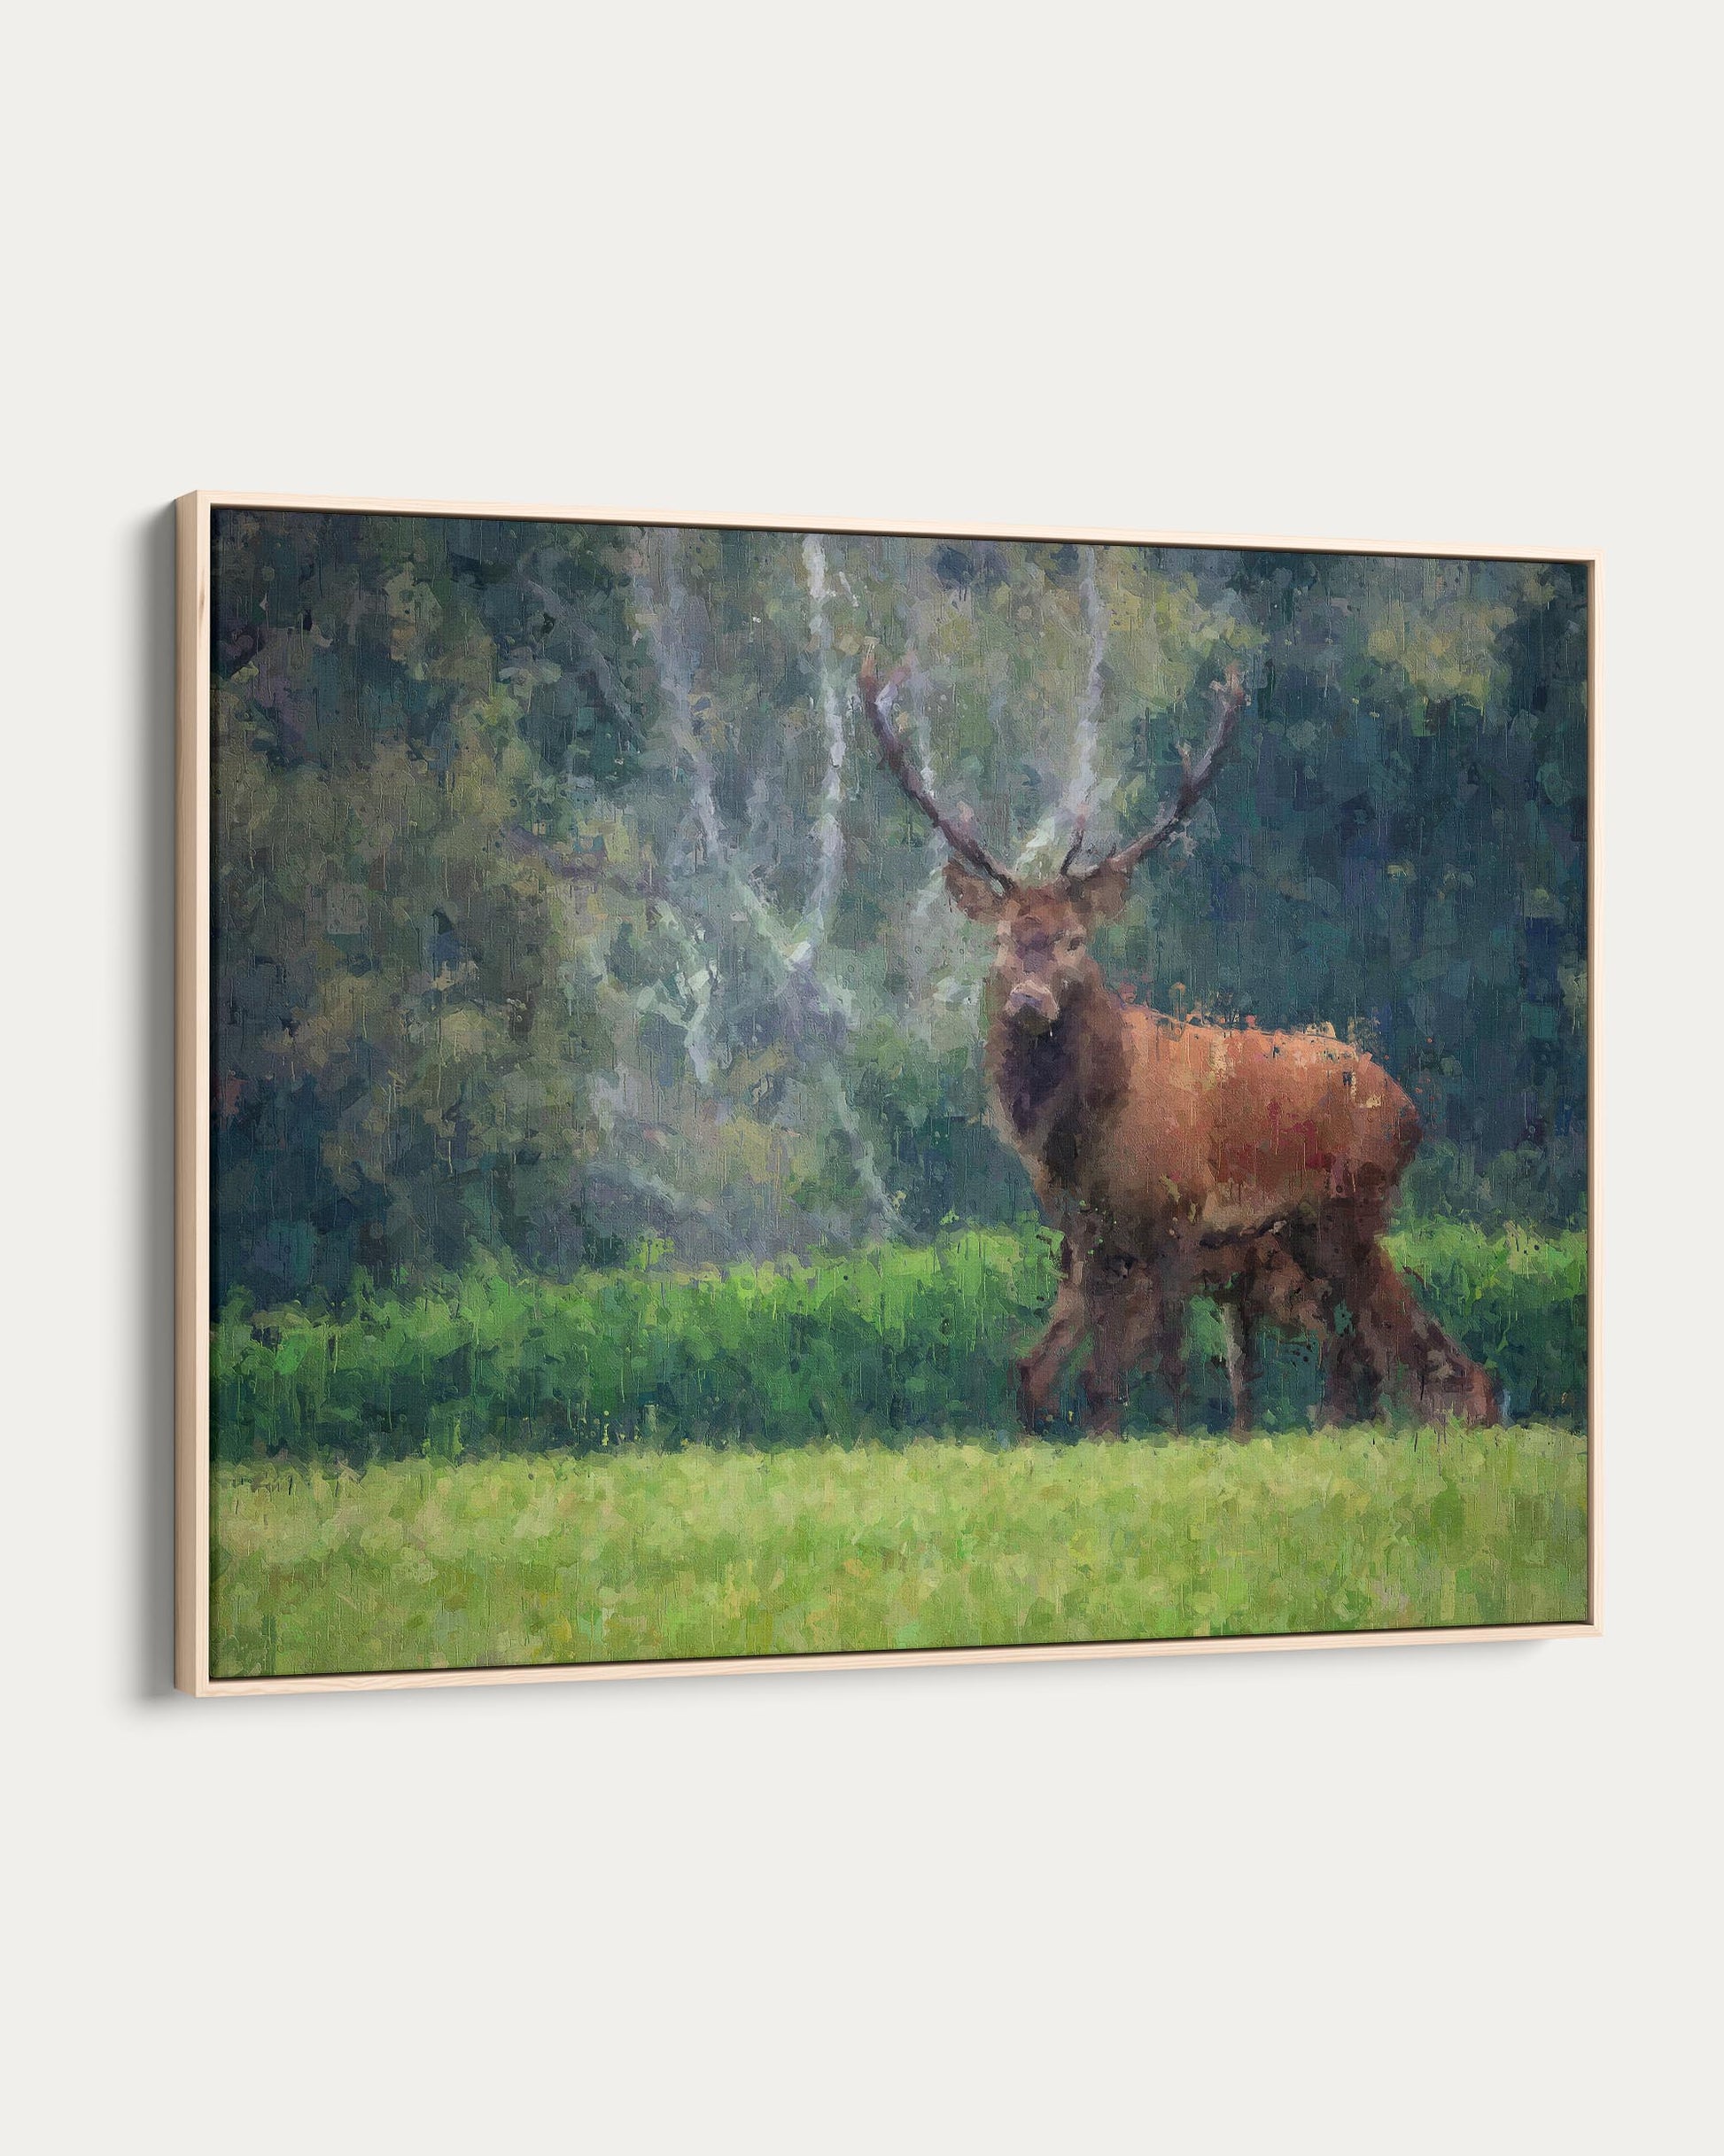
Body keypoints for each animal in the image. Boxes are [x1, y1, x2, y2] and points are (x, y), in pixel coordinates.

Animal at [860, 653, 1499, 1439]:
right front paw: (1101, 1439)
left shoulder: (1178, 1218)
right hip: (1312, 1234)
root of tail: (1413, 1110)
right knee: (1382, 1348)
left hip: (1347, 1209)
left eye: (1075, 939)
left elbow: (1167, 1367)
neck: (1087, 1133)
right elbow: (1085, 1377)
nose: (1029, 1003)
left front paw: (1175, 1438)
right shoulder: (1087, 1234)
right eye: (1004, 938)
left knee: (1400, 1346)